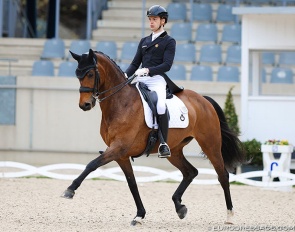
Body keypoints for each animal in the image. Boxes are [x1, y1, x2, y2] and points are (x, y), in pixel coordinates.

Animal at [61, 48, 247, 225]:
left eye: (90, 74)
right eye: (77, 74)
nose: (85, 105)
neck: (120, 103)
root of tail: (204, 100)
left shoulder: (118, 147)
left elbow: (91, 165)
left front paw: (70, 189)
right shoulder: (121, 154)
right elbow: (132, 183)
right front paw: (140, 215)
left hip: (210, 144)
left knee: (223, 175)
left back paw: (230, 215)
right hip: (174, 150)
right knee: (190, 172)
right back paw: (179, 206)